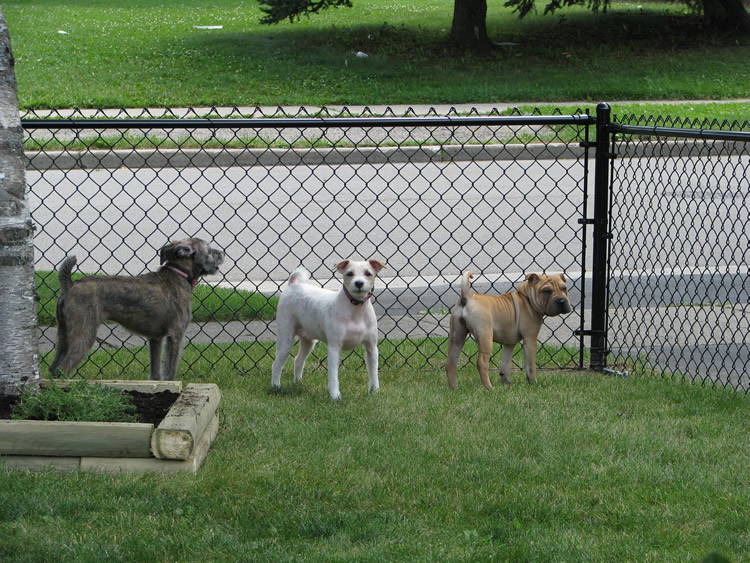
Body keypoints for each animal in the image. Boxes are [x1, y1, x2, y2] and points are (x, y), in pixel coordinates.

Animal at [272, 260, 388, 400]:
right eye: (349, 273)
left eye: (368, 273)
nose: (359, 283)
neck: (355, 310)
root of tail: (293, 284)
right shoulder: (334, 347)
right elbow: (333, 375)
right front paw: (335, 395)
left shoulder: (371, 347)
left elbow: (373, 372)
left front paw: (375, 391)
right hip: (285, 339)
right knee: (277, 364)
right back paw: (276, 386)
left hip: (308, 341)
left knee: (298, 360)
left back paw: (298, 383)